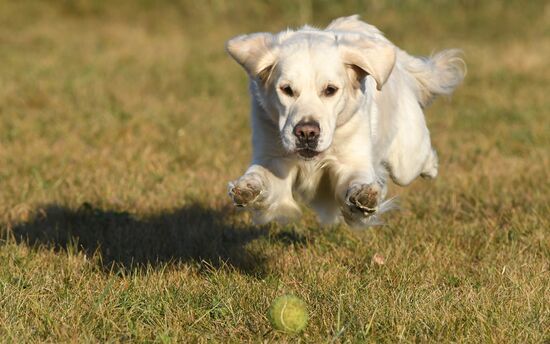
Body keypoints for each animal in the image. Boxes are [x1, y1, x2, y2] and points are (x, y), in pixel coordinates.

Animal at [224, 14, 466, 227]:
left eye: (330, 90)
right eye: (287, 89)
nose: (306, 133)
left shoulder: (351, 162)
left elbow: (356, 182)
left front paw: (364, 196)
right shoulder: (274, 158)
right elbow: (260, 175)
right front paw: (247, 188)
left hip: (407, 158)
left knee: (420, 162)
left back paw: (430, 167)